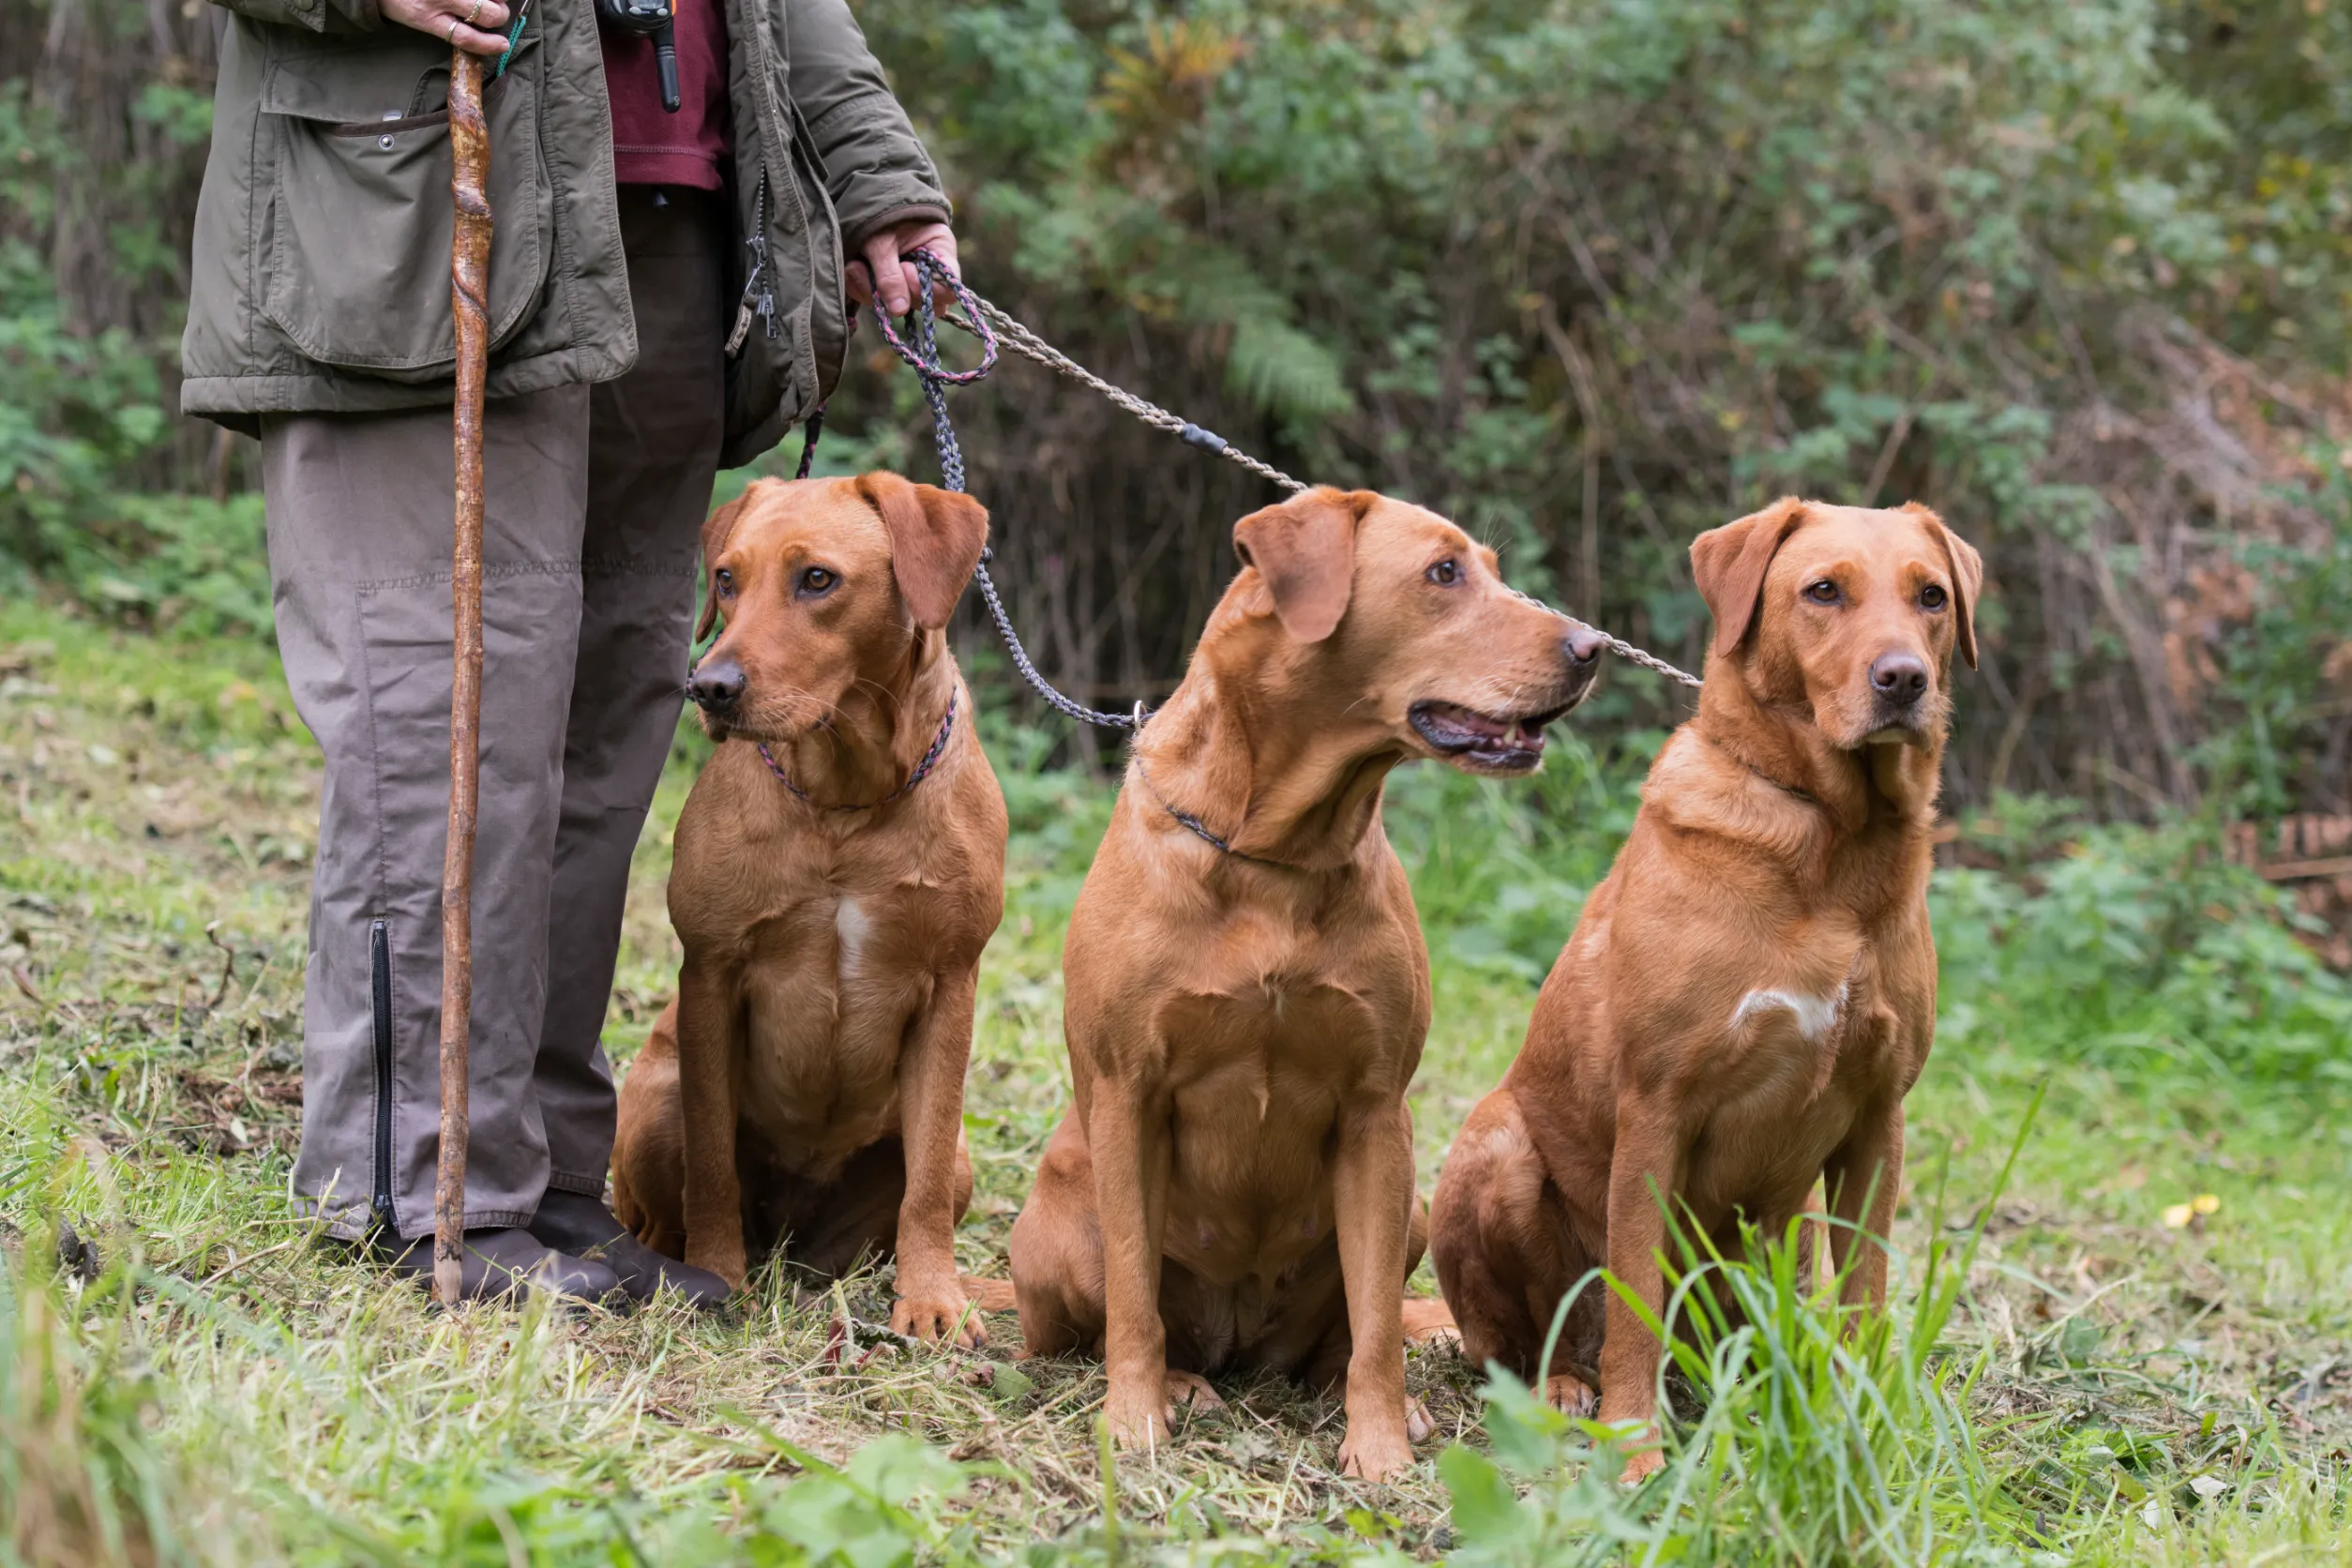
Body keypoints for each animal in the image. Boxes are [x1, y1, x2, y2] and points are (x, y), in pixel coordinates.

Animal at [611, 472, 1006, 1344]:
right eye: (726, 578)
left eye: (817, 579)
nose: (709, 687)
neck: (845, 798)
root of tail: (788, 1242)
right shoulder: (713, 974)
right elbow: (712, 1164)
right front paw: (713, 1275)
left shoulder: (952, 986)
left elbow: (927, 1184)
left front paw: (933, 1300)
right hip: (654, 1097)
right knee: (660, 1211)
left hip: (942, 1169)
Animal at [1002, 486, 1608, 1485]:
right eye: (1444, 572)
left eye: (1488, 567)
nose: (1592, 647)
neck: (1276, 853)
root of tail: (1241, 1347)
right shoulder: (1126, 1095)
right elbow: (1133, 1296)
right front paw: (1132, 1421)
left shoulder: (1375, 1111)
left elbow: (1377, 1330)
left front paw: (1382, 1444)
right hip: (1059, 1217)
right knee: (1103, 1325)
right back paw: (1178, 1383)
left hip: (1412, 1205)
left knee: (1350, 1328)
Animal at [1420, 500, 1975, 1485]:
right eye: (1822, 591)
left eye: (1932, 597)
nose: (1903, 679)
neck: (1833, 838)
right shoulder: (1656, 1110)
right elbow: (1635, 1306)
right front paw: (1636, 1454)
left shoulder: (1880, 1120)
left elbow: (1866, 1297)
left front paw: (1861, 1431)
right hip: (1498, 1144)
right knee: (1519, 1345)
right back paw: (1565, 1387)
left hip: (1780, 1237)